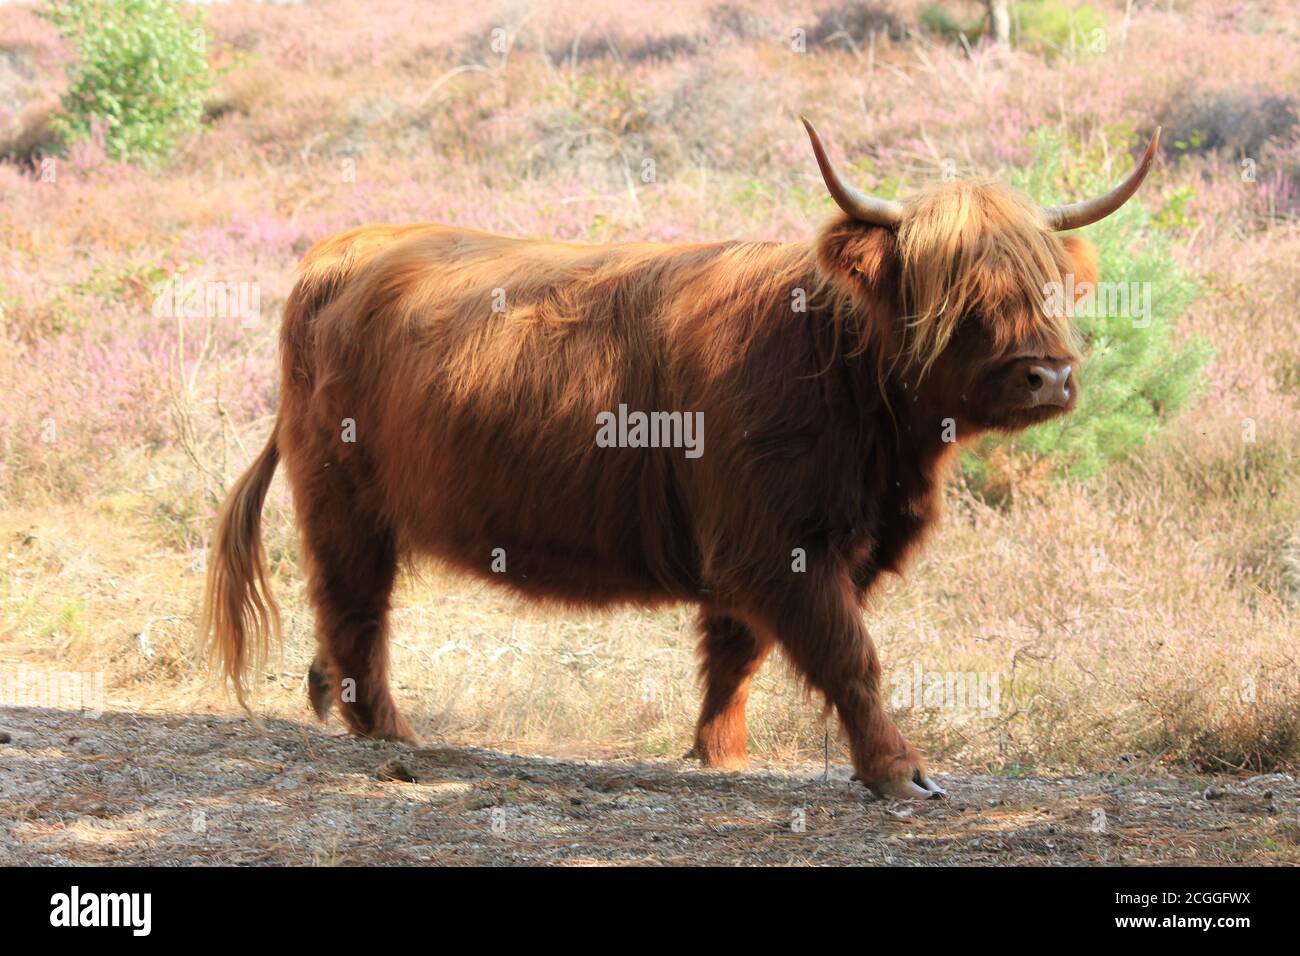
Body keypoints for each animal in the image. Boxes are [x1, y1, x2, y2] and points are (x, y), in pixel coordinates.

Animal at [208, 119, 1164, 801]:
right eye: (960, 293)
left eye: (1049, 284)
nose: (1048, 375)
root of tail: (347, 250)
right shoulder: (777, 541)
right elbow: (848, 655)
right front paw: (899, 770)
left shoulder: (768, 546)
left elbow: (735, 653)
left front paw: (718, 753)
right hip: (342, 499)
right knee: (356, 606)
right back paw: (388, 731)